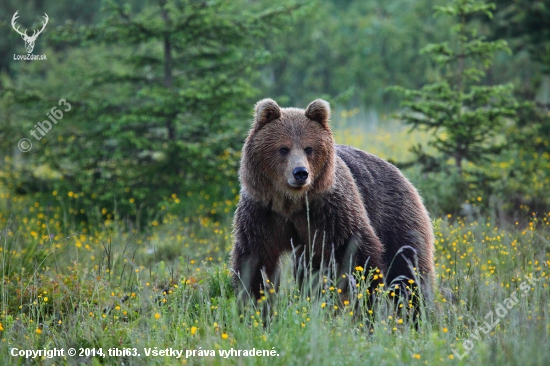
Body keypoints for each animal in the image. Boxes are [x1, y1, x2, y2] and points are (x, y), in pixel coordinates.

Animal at [231, 98, 438, 308]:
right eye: (283, 148)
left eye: (309, 148)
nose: (300, 173)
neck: (292, 202)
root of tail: (400, 173)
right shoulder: (263, 213)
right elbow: (255, 260)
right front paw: (253, 303)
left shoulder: (330, 210)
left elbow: (356, 252)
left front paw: (367, 299)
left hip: (396, 216)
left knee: (407, 266)